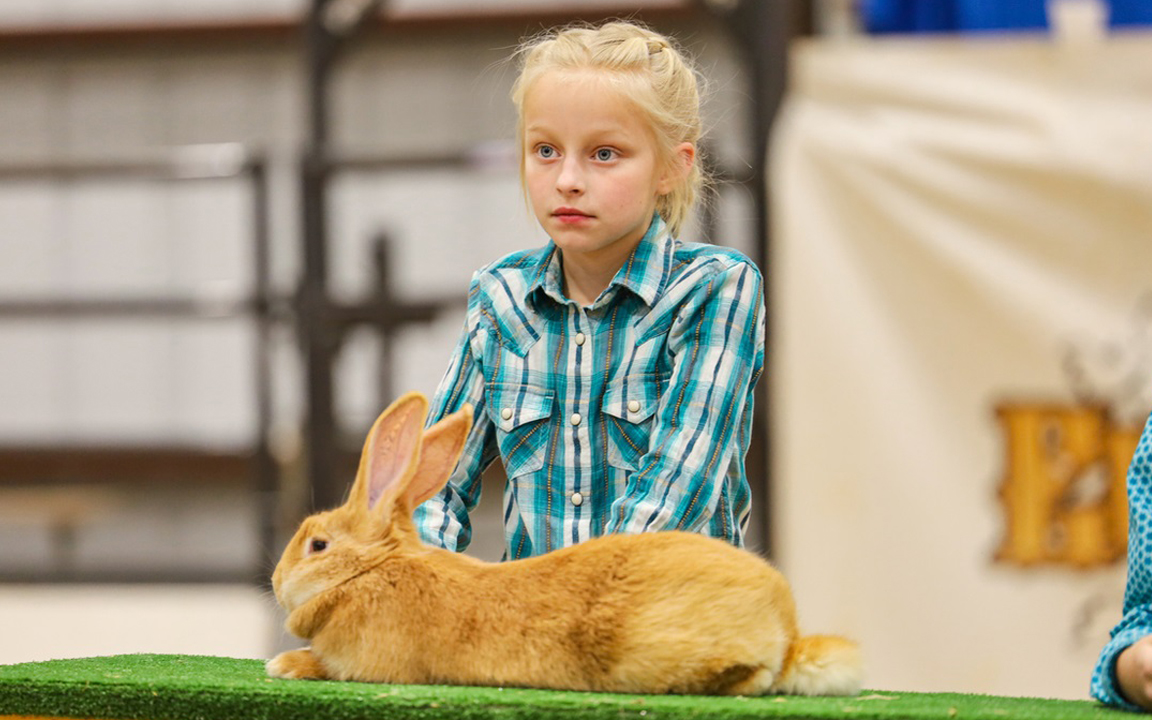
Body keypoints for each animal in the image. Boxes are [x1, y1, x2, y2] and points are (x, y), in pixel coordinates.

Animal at [266, 391, 863, 696]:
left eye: (317, 546)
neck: (370, 570)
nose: (274, 580)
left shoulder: (370, 666)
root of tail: (787, 627)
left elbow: (327, 667)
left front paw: (283, 664)